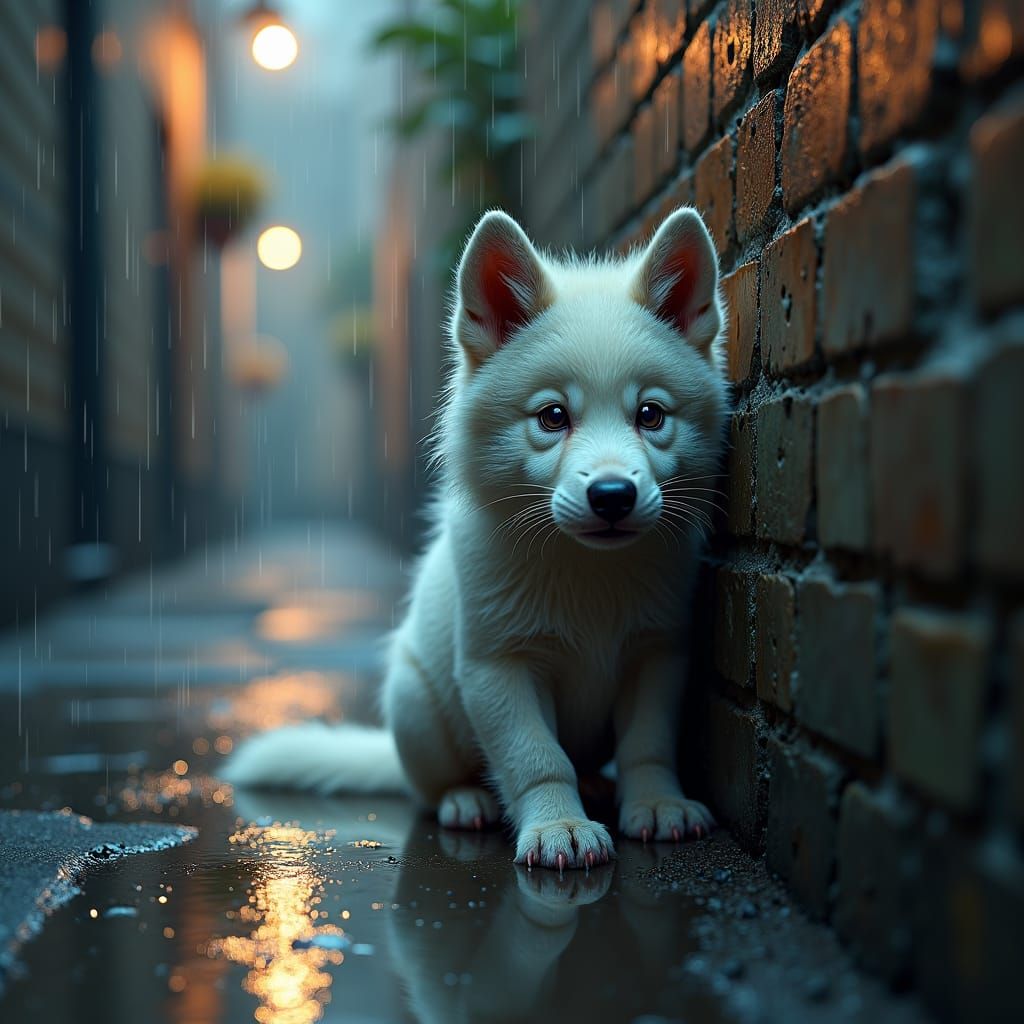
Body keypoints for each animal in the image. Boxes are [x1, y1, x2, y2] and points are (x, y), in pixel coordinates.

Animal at [225, 207, 729, 870]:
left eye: (650, 415)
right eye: (552, 417)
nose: (613, 496)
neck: (586, 570)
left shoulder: (658, 654)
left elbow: (647, 745)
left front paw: (656, 804)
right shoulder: (497, 667)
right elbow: (536, 758)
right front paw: (559, 825)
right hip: (414, 700)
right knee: (432, 786)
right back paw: (467, 800)